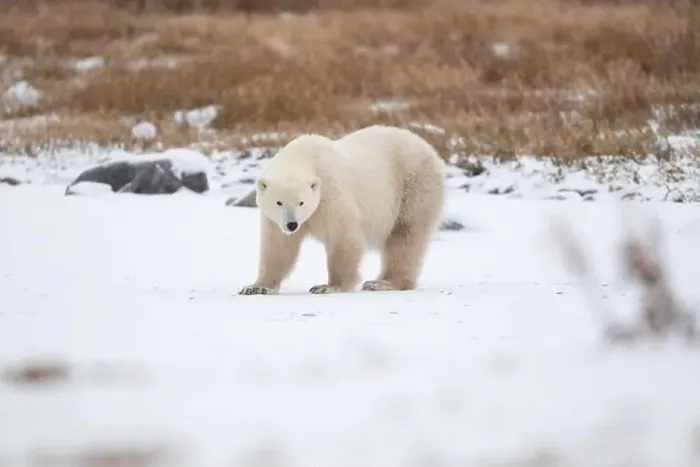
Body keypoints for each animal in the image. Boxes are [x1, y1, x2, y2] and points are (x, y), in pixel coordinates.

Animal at [238, 124, 446, 295]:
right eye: (278, 202)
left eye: (301, 202)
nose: (292, 224)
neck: (304, 156)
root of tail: (429, 148)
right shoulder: (275, 220)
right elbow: (278, 247)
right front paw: (256, 287)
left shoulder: (331, 193)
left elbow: (343, 238)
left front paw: (328, 286)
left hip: (414, 186)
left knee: (405, 235)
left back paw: (383, 283)